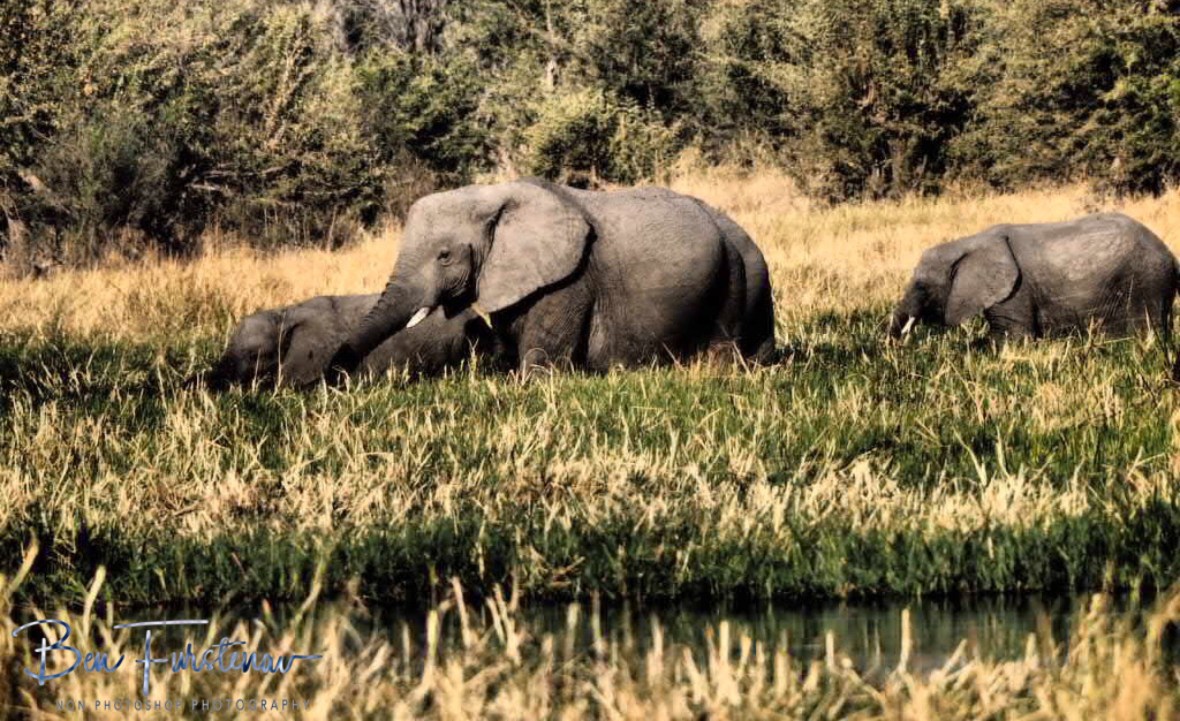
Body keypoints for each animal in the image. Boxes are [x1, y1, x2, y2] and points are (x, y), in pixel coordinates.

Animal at [326, 178, 776, 380]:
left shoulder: (570, 280)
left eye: (444, 256)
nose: (333, 377)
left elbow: (542, 366)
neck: (493, 195)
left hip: (734, 273)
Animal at [889, 213, 1178, 341]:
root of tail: (1170, 254)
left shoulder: (1015, 292)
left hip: (1146, 282)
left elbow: (1011, 337)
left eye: (922, 286)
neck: (967, 243)